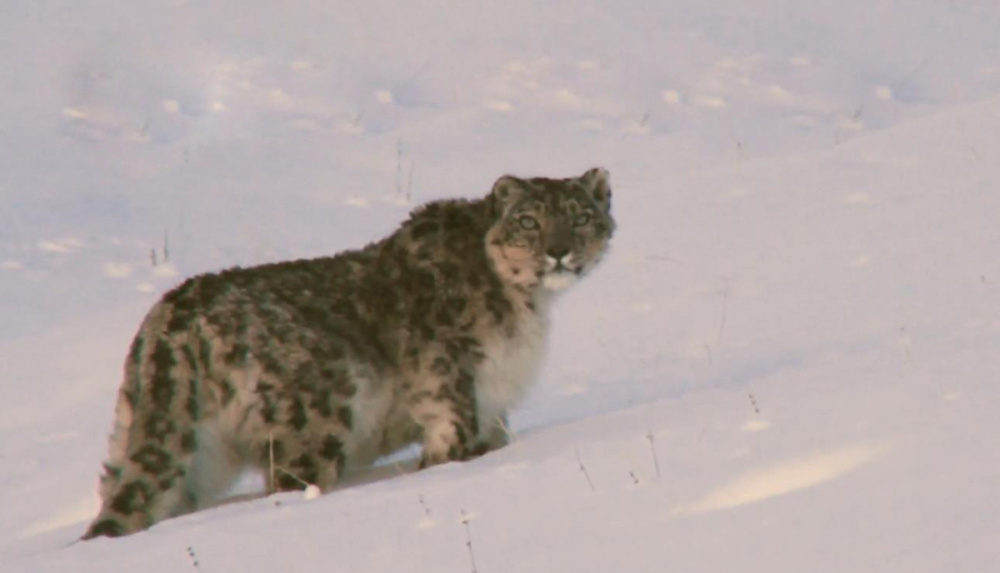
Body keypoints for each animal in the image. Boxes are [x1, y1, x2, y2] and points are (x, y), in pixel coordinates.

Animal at [86, 166, 612, 536]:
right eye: (528, 221)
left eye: (581, 217)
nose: (559, 251)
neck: (527, 307)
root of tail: (173, 315)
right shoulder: (451, 391)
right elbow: (450, 449)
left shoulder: (494, 404)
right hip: (312, 428)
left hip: (173, 447)